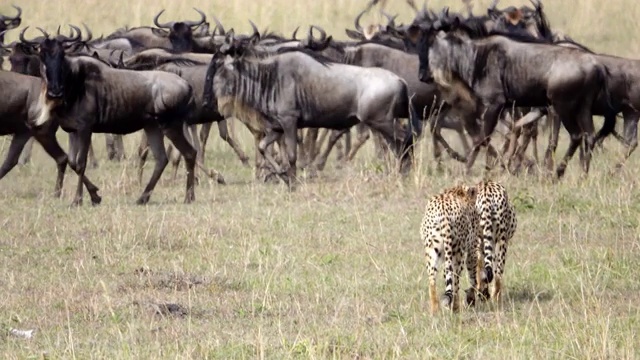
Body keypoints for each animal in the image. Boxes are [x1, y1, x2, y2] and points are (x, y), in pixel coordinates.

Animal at [420, 184, 480, 314]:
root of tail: (443, 211)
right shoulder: (472, 249)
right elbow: (472, 276)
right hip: (458, 253)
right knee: (456, 280)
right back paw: (456, 307)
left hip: (432, 250)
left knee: (432, 280)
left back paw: (435, 310)